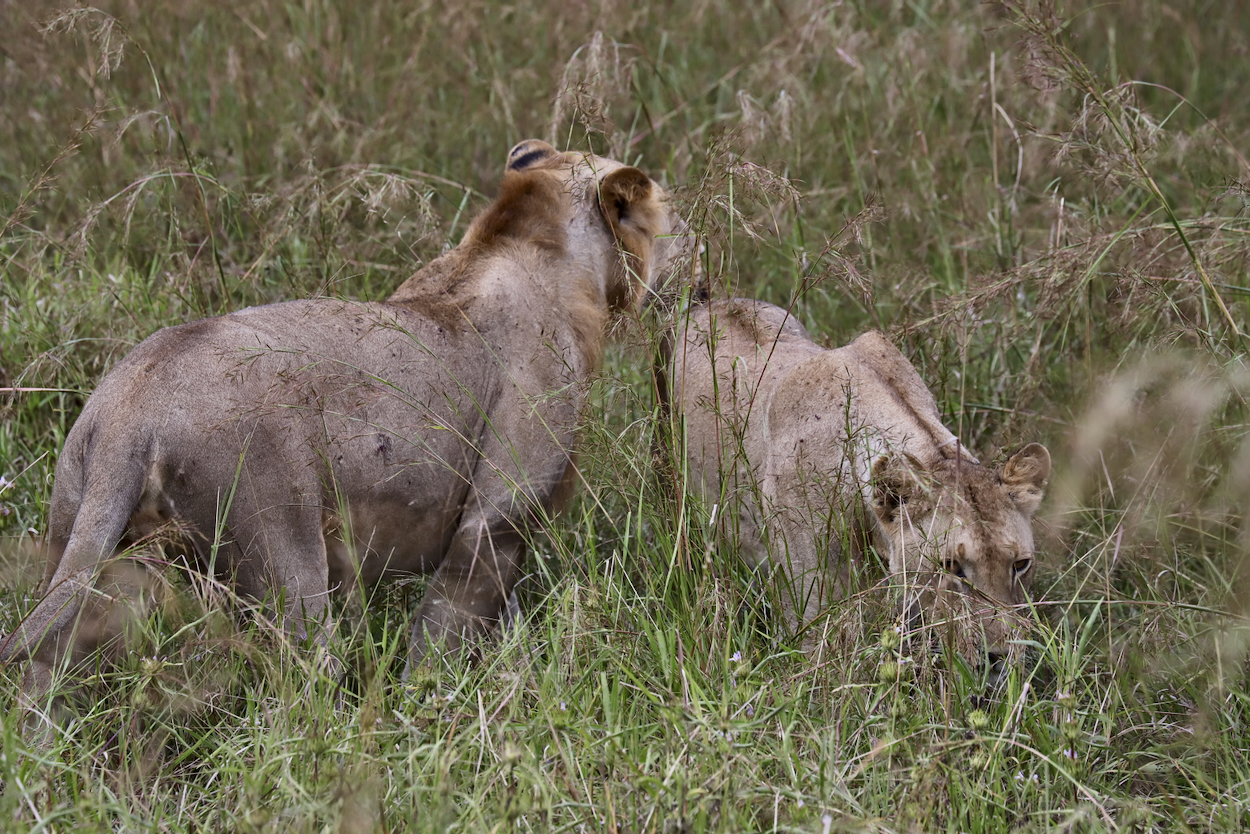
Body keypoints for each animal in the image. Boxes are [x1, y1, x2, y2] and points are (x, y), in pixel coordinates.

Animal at [0, 140, 690, 715]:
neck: (536, 247)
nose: (696, 253)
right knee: (301, 686)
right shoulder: (496, 517)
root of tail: (134, 405)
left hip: (77, 533)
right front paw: (426, 712)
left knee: (47, 671)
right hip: (284, 554)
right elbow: (441, 634)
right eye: (669, 217)